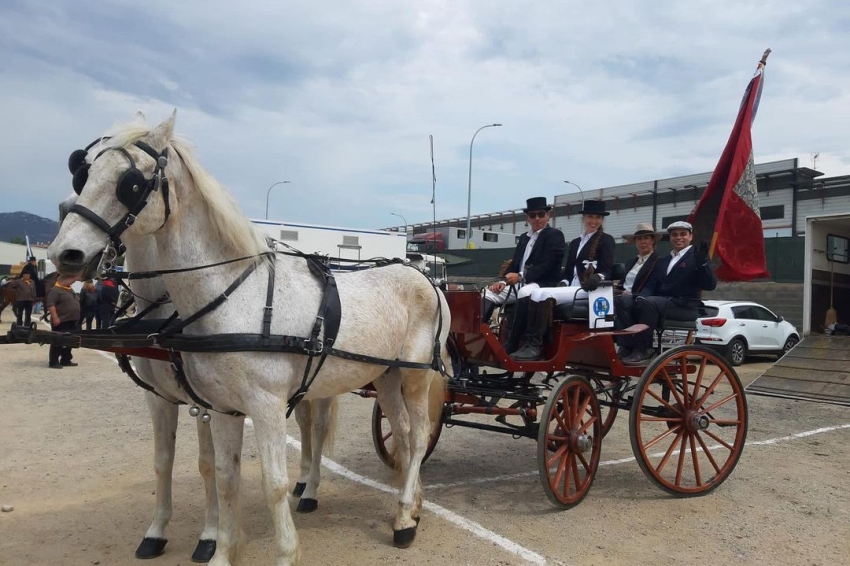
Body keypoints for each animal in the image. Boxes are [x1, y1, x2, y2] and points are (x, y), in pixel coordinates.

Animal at [51, 112, 450, 566]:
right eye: (83, 172)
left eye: (130, 183)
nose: (65, 253)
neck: (232, 297)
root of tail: (426, 277)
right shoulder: (218, 406)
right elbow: (223, 476)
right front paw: (220, 551)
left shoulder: (265, 407)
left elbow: (271, 483)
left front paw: (283, 552)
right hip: (385, 375)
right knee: (399, 433)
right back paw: (411, 505)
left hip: (415, 376)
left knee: (417, 436)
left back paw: (402, 520)